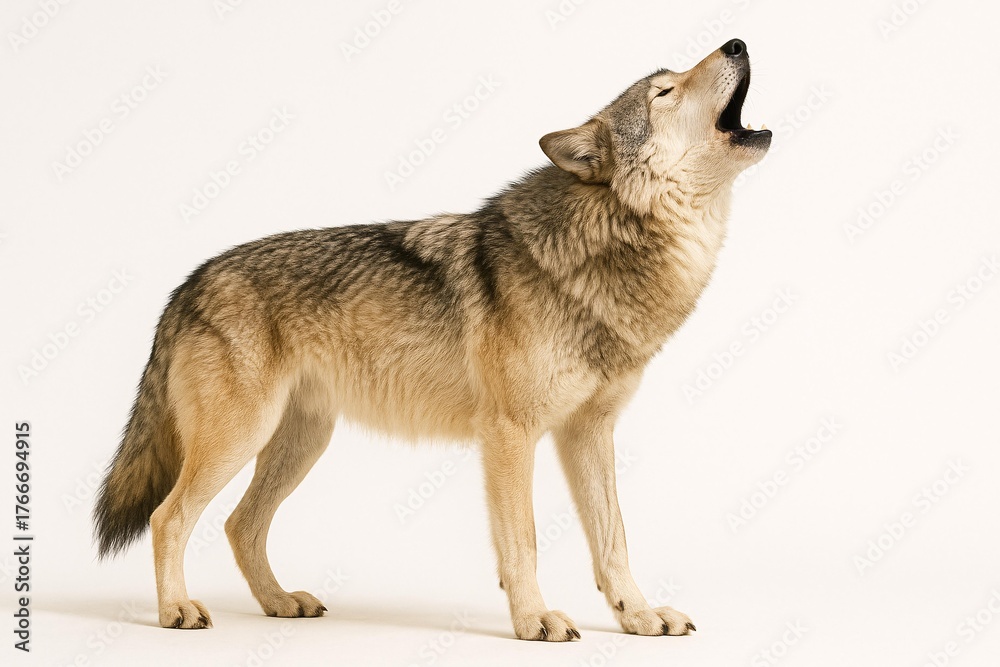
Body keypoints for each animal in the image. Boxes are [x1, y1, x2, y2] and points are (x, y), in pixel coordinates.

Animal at [94, 38, 770, 641]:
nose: (737, 41)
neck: (606, 247)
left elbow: (614, 541)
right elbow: (523, 542)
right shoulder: (510, 434)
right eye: (664, 91)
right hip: (241, 438)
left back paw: (280, 603)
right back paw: (177, 611)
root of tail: (190, 282)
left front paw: (639, 617)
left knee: (240, 525)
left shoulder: (588, 434)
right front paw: (534, 621)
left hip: (301, 443)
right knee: (168, 518)